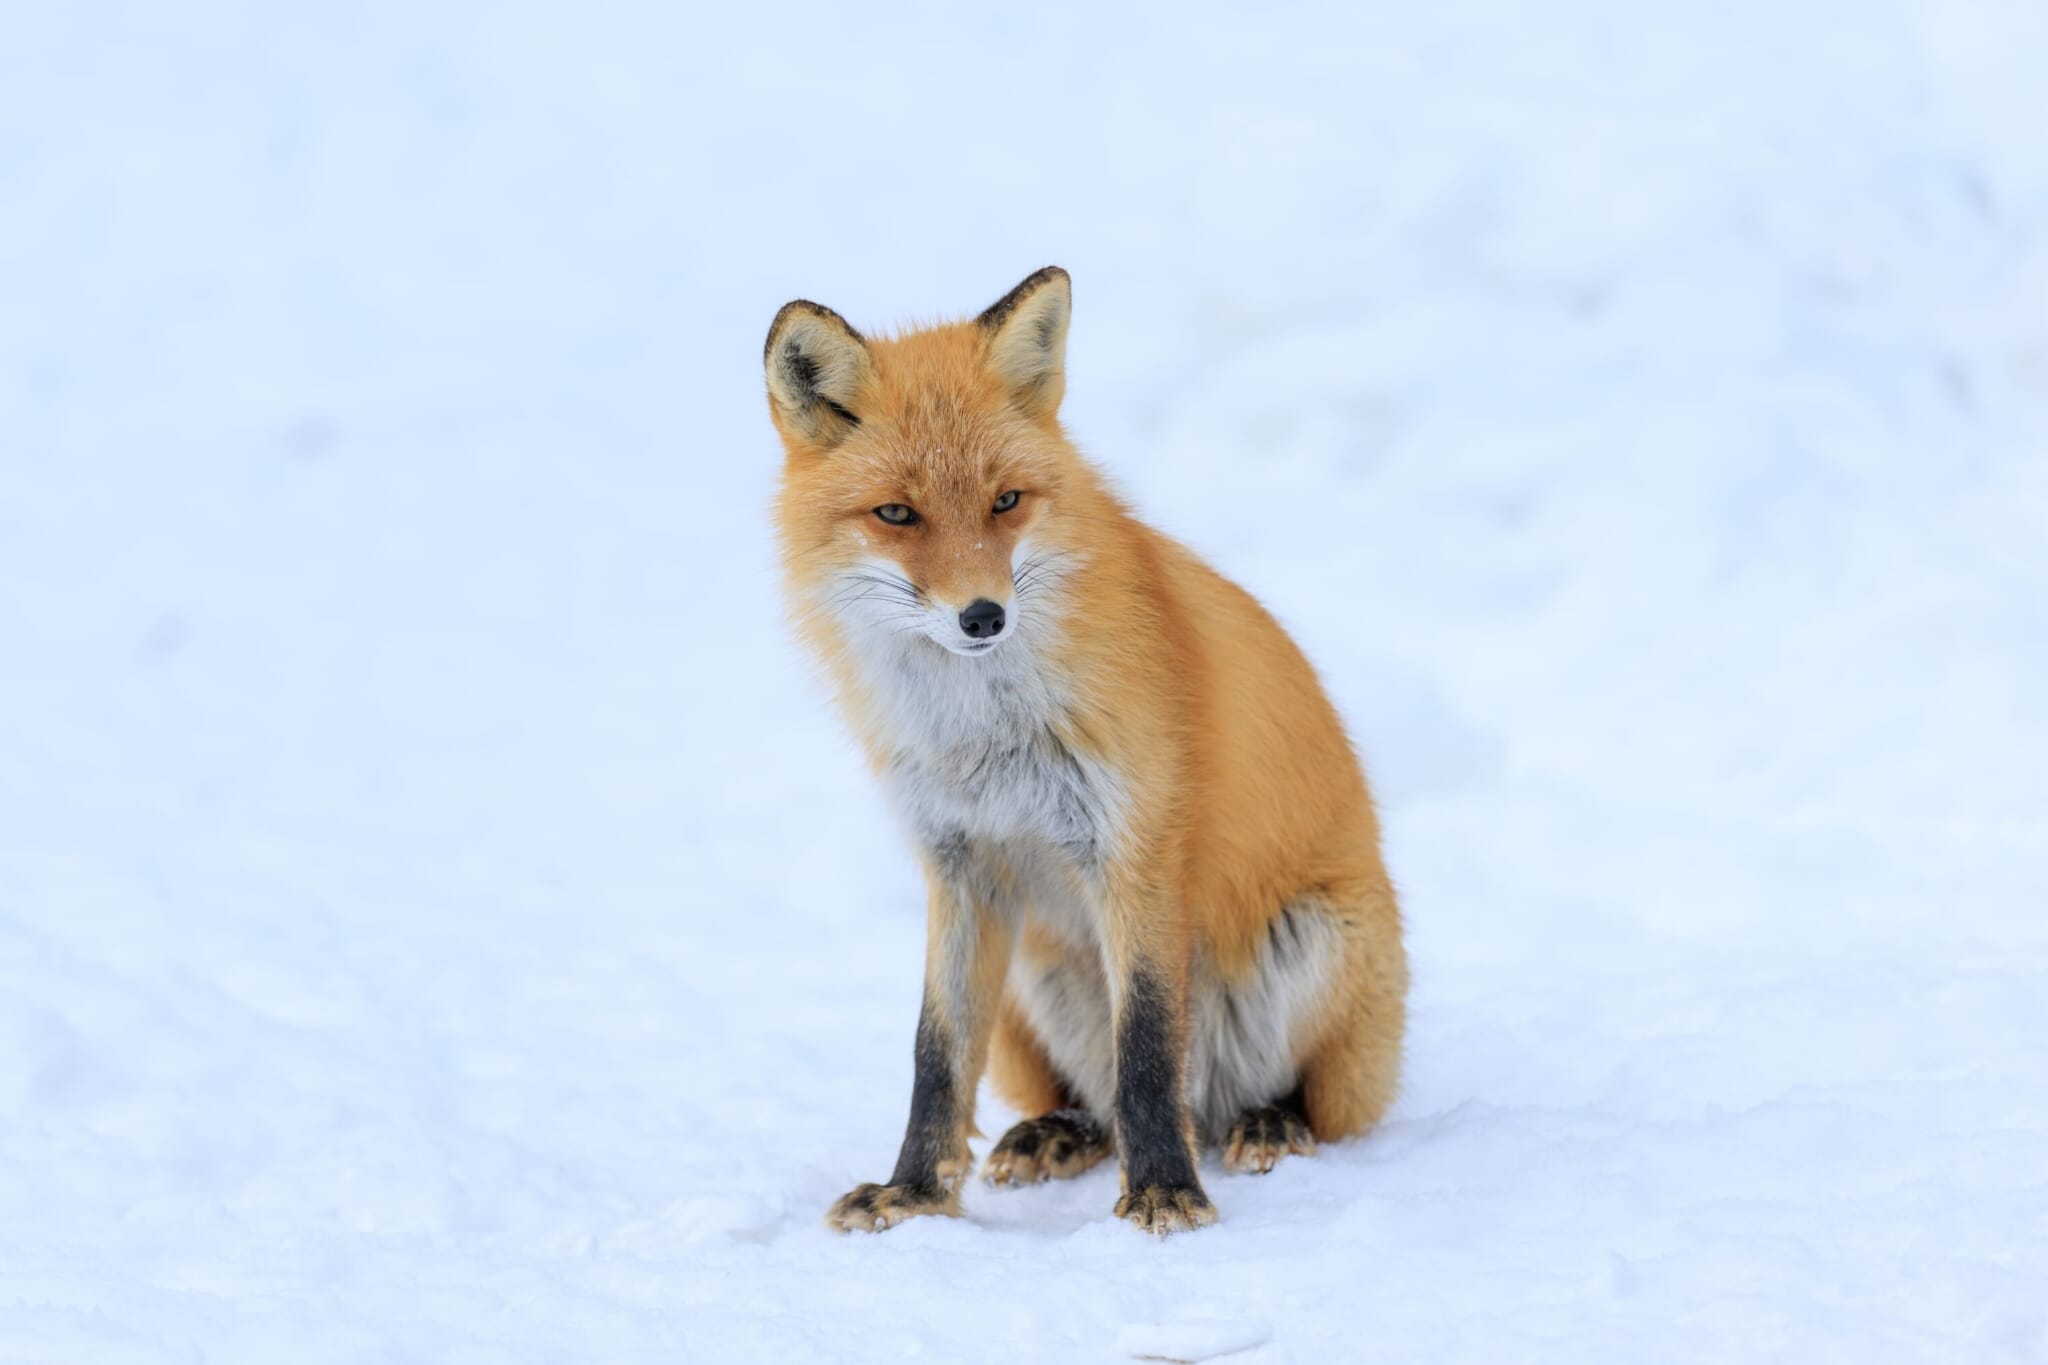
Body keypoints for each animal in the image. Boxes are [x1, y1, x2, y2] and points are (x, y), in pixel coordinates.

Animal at [766, 267, 1408, 1235]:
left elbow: (1144, 1043)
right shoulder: (960, 864)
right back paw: (1058, 1133)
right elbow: (935, 1052)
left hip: (1320, 944)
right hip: (1032, 976)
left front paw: (1167, 1190)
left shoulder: (1135, 847)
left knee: (1298, 1104)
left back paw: (1266, 1120)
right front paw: (913, 1193)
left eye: (1005, 500)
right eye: (897, 514)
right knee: (1090, 1100)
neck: (986, 734)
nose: (983, 615)